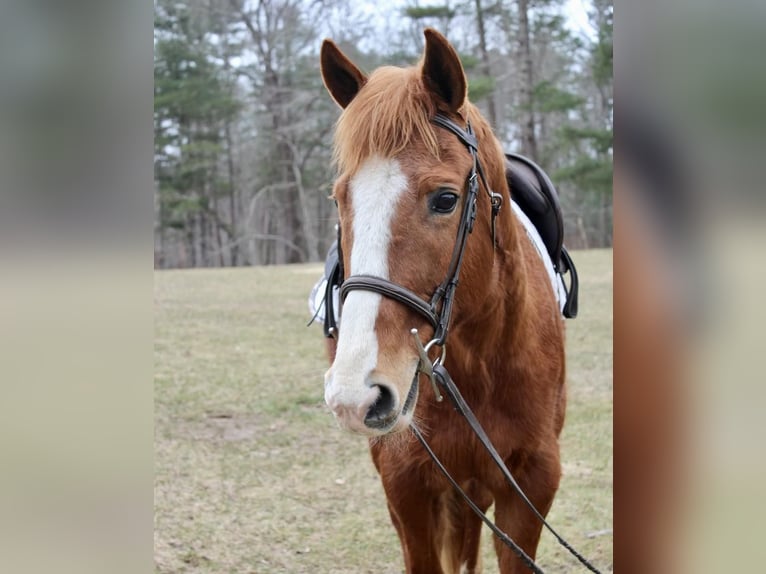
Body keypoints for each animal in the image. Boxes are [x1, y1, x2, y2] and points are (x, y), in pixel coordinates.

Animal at [319, 28, 568, 574]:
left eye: (446, 199)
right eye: (340, 199)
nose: (356, 393)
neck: (480, 367)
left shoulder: (531, 487)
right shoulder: (407, 487)